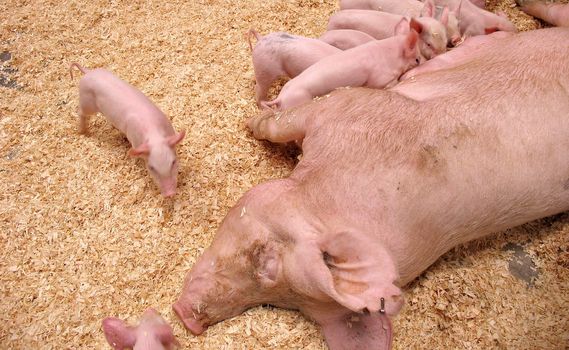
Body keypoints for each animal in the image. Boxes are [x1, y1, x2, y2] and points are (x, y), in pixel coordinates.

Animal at [173, 28, 568, 350]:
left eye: (266, 267)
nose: (185, 316)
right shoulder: (346, 109)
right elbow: (280, 124)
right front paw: (250, 122)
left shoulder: (347, 111)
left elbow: (282, 121)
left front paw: (250, 121)